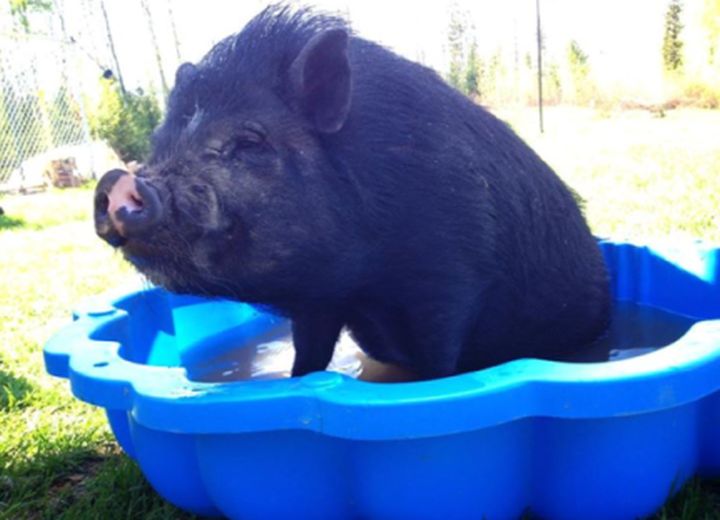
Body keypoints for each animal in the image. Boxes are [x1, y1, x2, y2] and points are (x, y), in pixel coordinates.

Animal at [94, 5, 610, 379]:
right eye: (159, 143)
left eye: (250, 141)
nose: (116, 183)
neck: (365, 282)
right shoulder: (318, 301)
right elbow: (308, 361)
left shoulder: (453, 277)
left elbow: (439, 364)